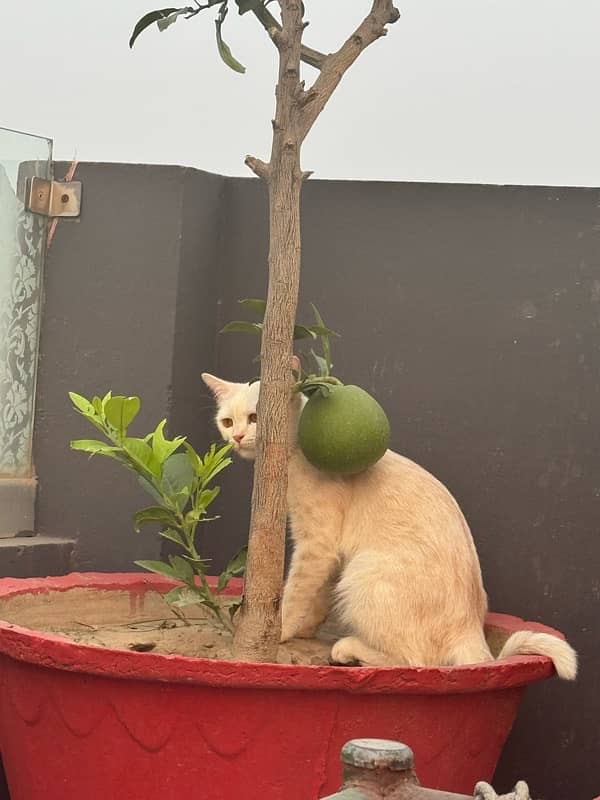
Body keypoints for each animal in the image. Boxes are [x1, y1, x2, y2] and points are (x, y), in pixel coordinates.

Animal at [200, 368, 576, 676]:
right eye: (227, 422)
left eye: (255, 417)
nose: (236, 438)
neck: (296, 449)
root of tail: (471, 627)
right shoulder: (331, 555)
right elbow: (318, 595)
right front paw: (306, 628)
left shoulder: (316, 544)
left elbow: (295, 591)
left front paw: (284, 630)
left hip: (363, 574)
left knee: (417, 661)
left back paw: (348, 649)